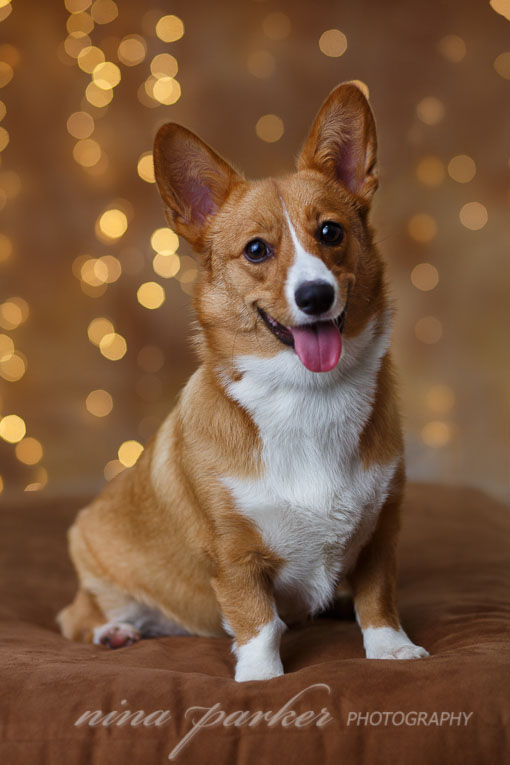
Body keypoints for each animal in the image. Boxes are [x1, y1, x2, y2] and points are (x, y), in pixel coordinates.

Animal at [57, 83, 428, 680]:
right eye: (257, 249)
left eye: (331, 232)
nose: (315, 296)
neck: (307, 396)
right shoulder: (234, 555)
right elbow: (258, 621)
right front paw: (261, 678)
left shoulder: (381, 531)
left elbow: (378, 597)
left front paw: (391, 648)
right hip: (97, 563)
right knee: (80, 616)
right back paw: (114, 632)